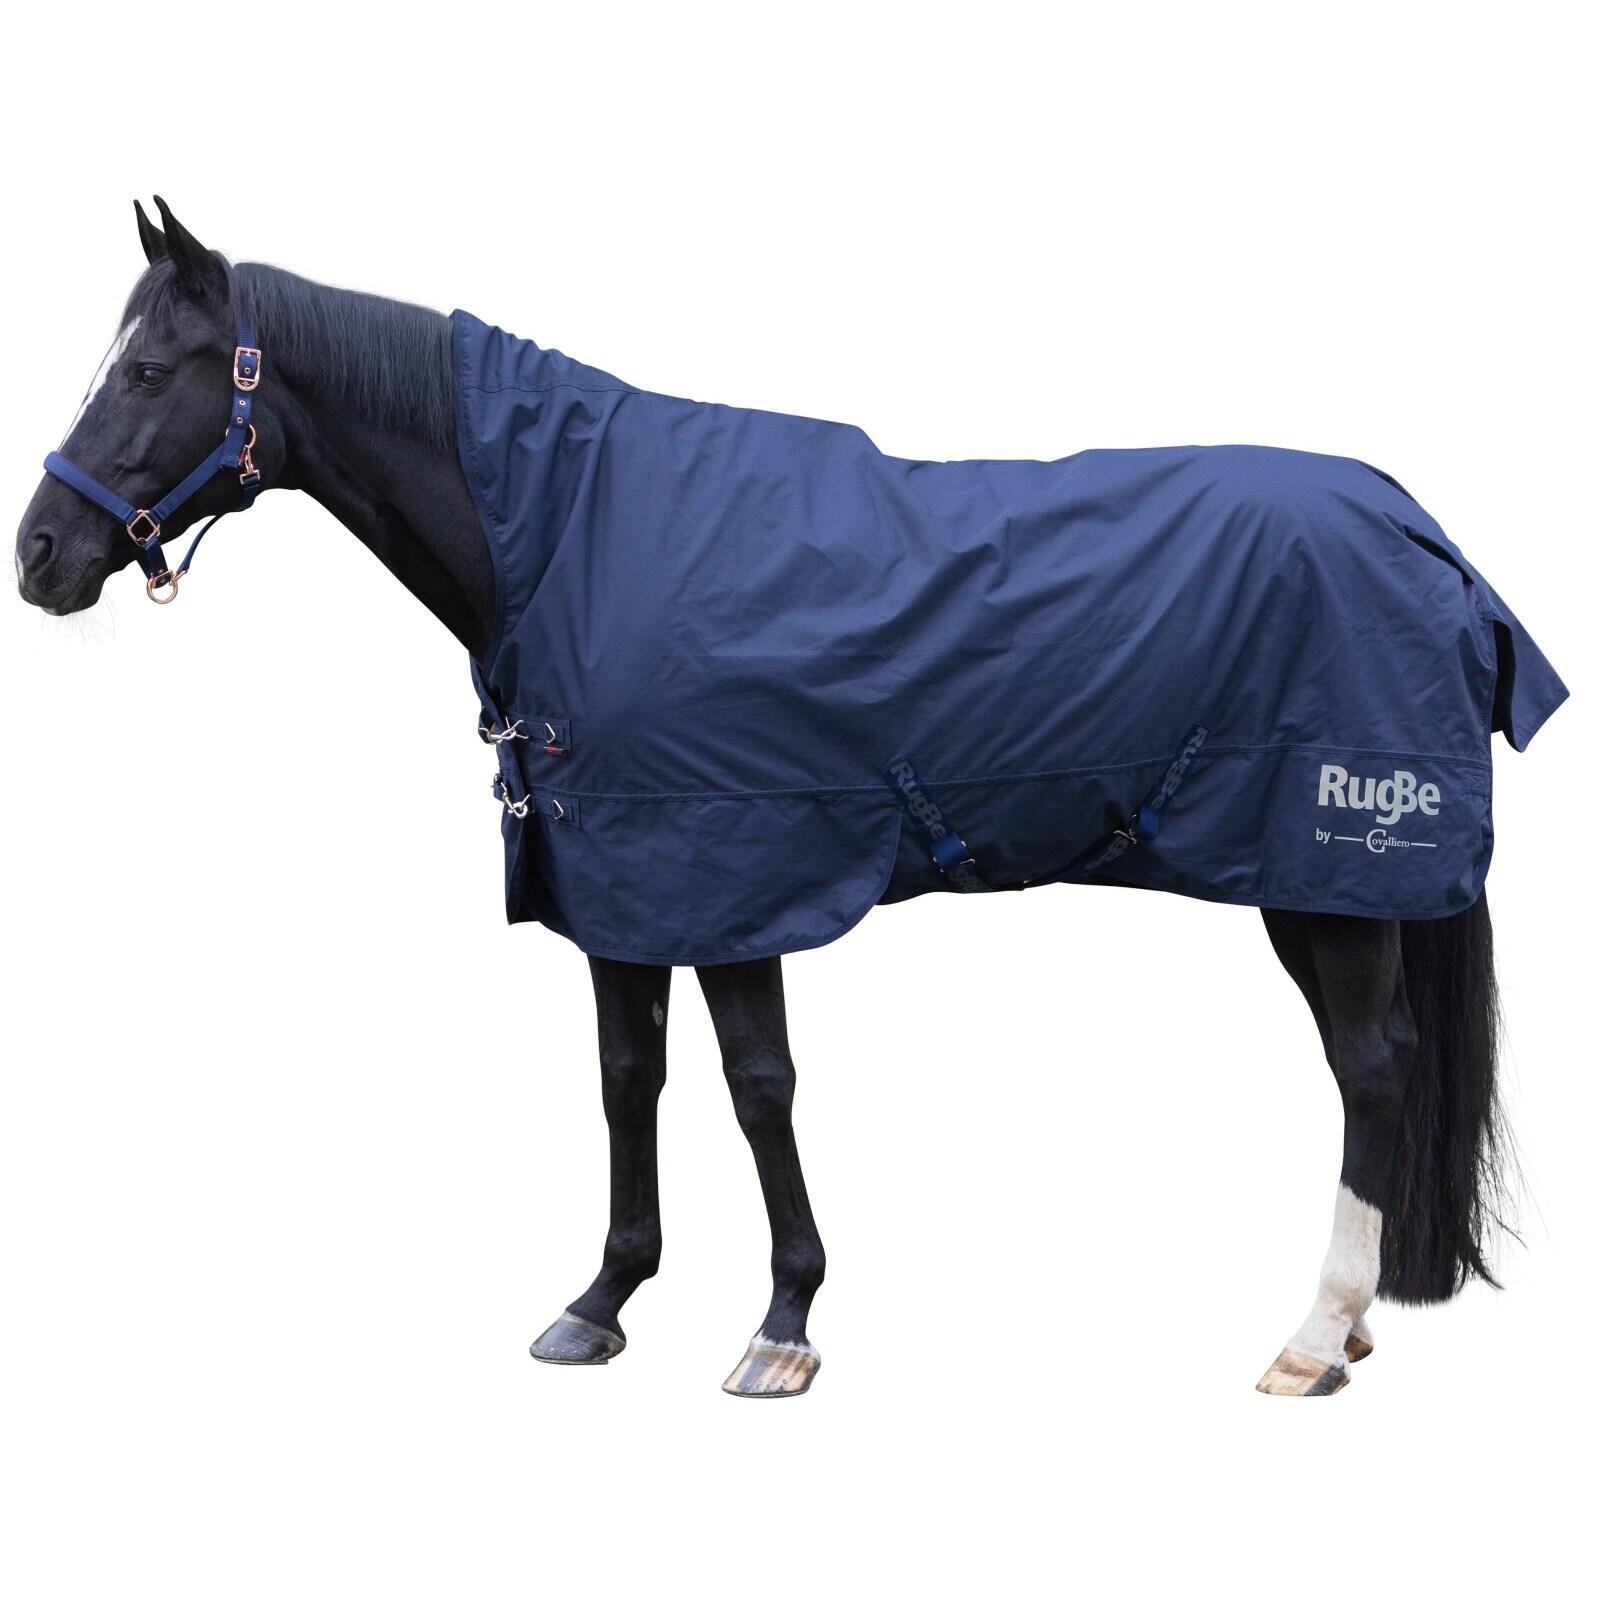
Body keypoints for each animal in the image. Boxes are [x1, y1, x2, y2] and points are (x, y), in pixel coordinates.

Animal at [14, 199, 1566, 1399]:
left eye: (149, 367)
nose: (38, 555)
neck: (571, 534)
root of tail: (1424, 533)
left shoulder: (735, 866)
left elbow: (759, 1087)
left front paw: (783, 1323)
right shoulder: (620, 884)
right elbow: (625, 1080)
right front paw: (602, 1301)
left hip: (1329, 877)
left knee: (1373, 1071)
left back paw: (1313, 1336)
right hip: (1316, 887)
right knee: (1384, 1069)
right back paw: (1349, 1330)